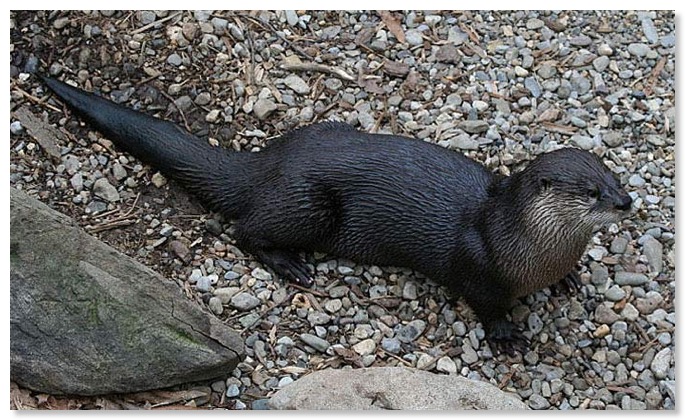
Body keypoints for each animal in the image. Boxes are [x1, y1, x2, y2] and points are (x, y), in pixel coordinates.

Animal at [40, 75, 632, 353]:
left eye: (614, 178)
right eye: (590, 193)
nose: (625, 202)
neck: (530, 250)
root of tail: (268, 162)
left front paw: (572, 280)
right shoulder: (479, 267)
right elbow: (486, 304)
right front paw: (507, 334)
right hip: (307, 204)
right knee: (245, 229)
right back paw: (291, 266)